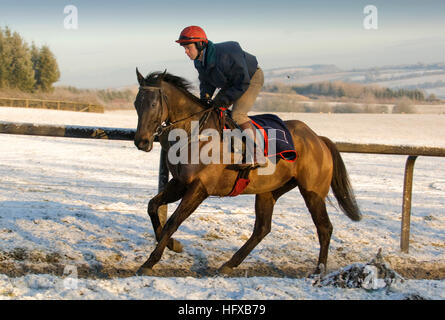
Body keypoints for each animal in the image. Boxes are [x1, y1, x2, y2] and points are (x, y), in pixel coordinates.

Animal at [133, 69, 360, 276]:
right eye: (136, 104)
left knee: (324, 228)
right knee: (262, 228)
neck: (194, 132)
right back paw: (229, 264)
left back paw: (318, 271)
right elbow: (152, 207)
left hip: (313, 192)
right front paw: (174, 245)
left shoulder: (200, 188)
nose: (141, 142)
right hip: (269, 190)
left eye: (153, 104)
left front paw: (150, 262)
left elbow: (173, 221)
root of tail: (318, 138)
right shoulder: (180, 182)